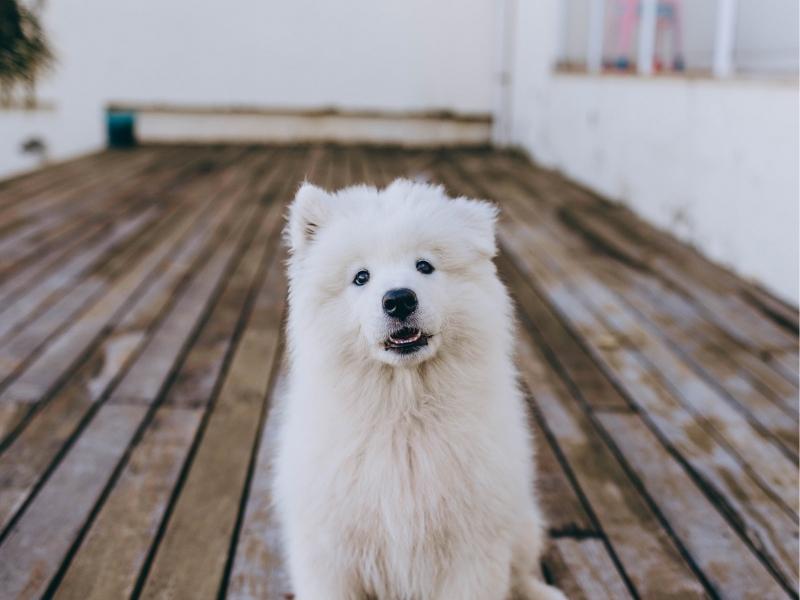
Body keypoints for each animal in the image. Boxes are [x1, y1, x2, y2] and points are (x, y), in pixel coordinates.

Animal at [276, 179, 568, 600]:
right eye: (361, 277)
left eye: (424, 266)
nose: (399, 299)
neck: (404, 411)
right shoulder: (332, 554)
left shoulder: (471, 550)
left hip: (521, 520)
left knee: (519, 572)